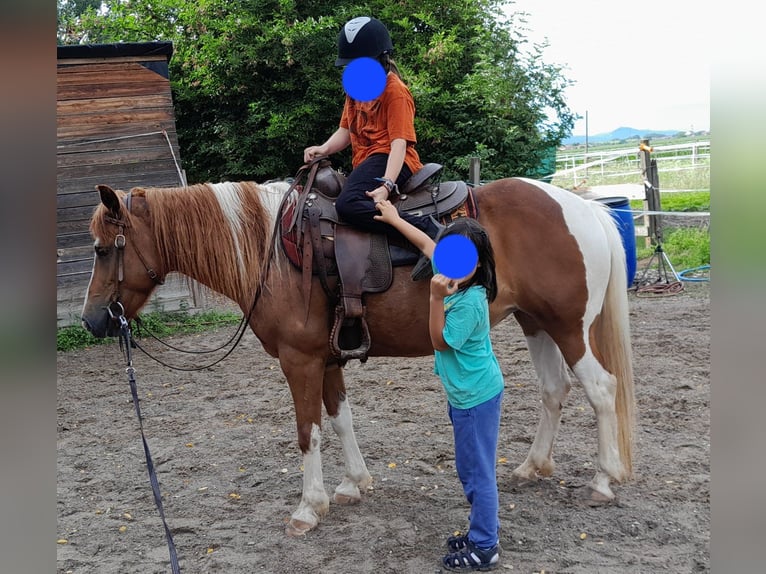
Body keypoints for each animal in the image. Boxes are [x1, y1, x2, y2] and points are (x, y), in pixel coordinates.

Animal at [81, 178, 640, 536]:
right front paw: (354, 484)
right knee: (554, 390)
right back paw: (531, 466)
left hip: (569, 327)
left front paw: (309, 507)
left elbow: (307, 432)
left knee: (601, 390)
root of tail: (582, 208)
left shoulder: (299, 361)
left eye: (104, 249)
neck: (271, 253)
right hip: (535, 322)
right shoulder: (326, 360)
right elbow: (341, 418)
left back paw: (604, 480)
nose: (91, 320)